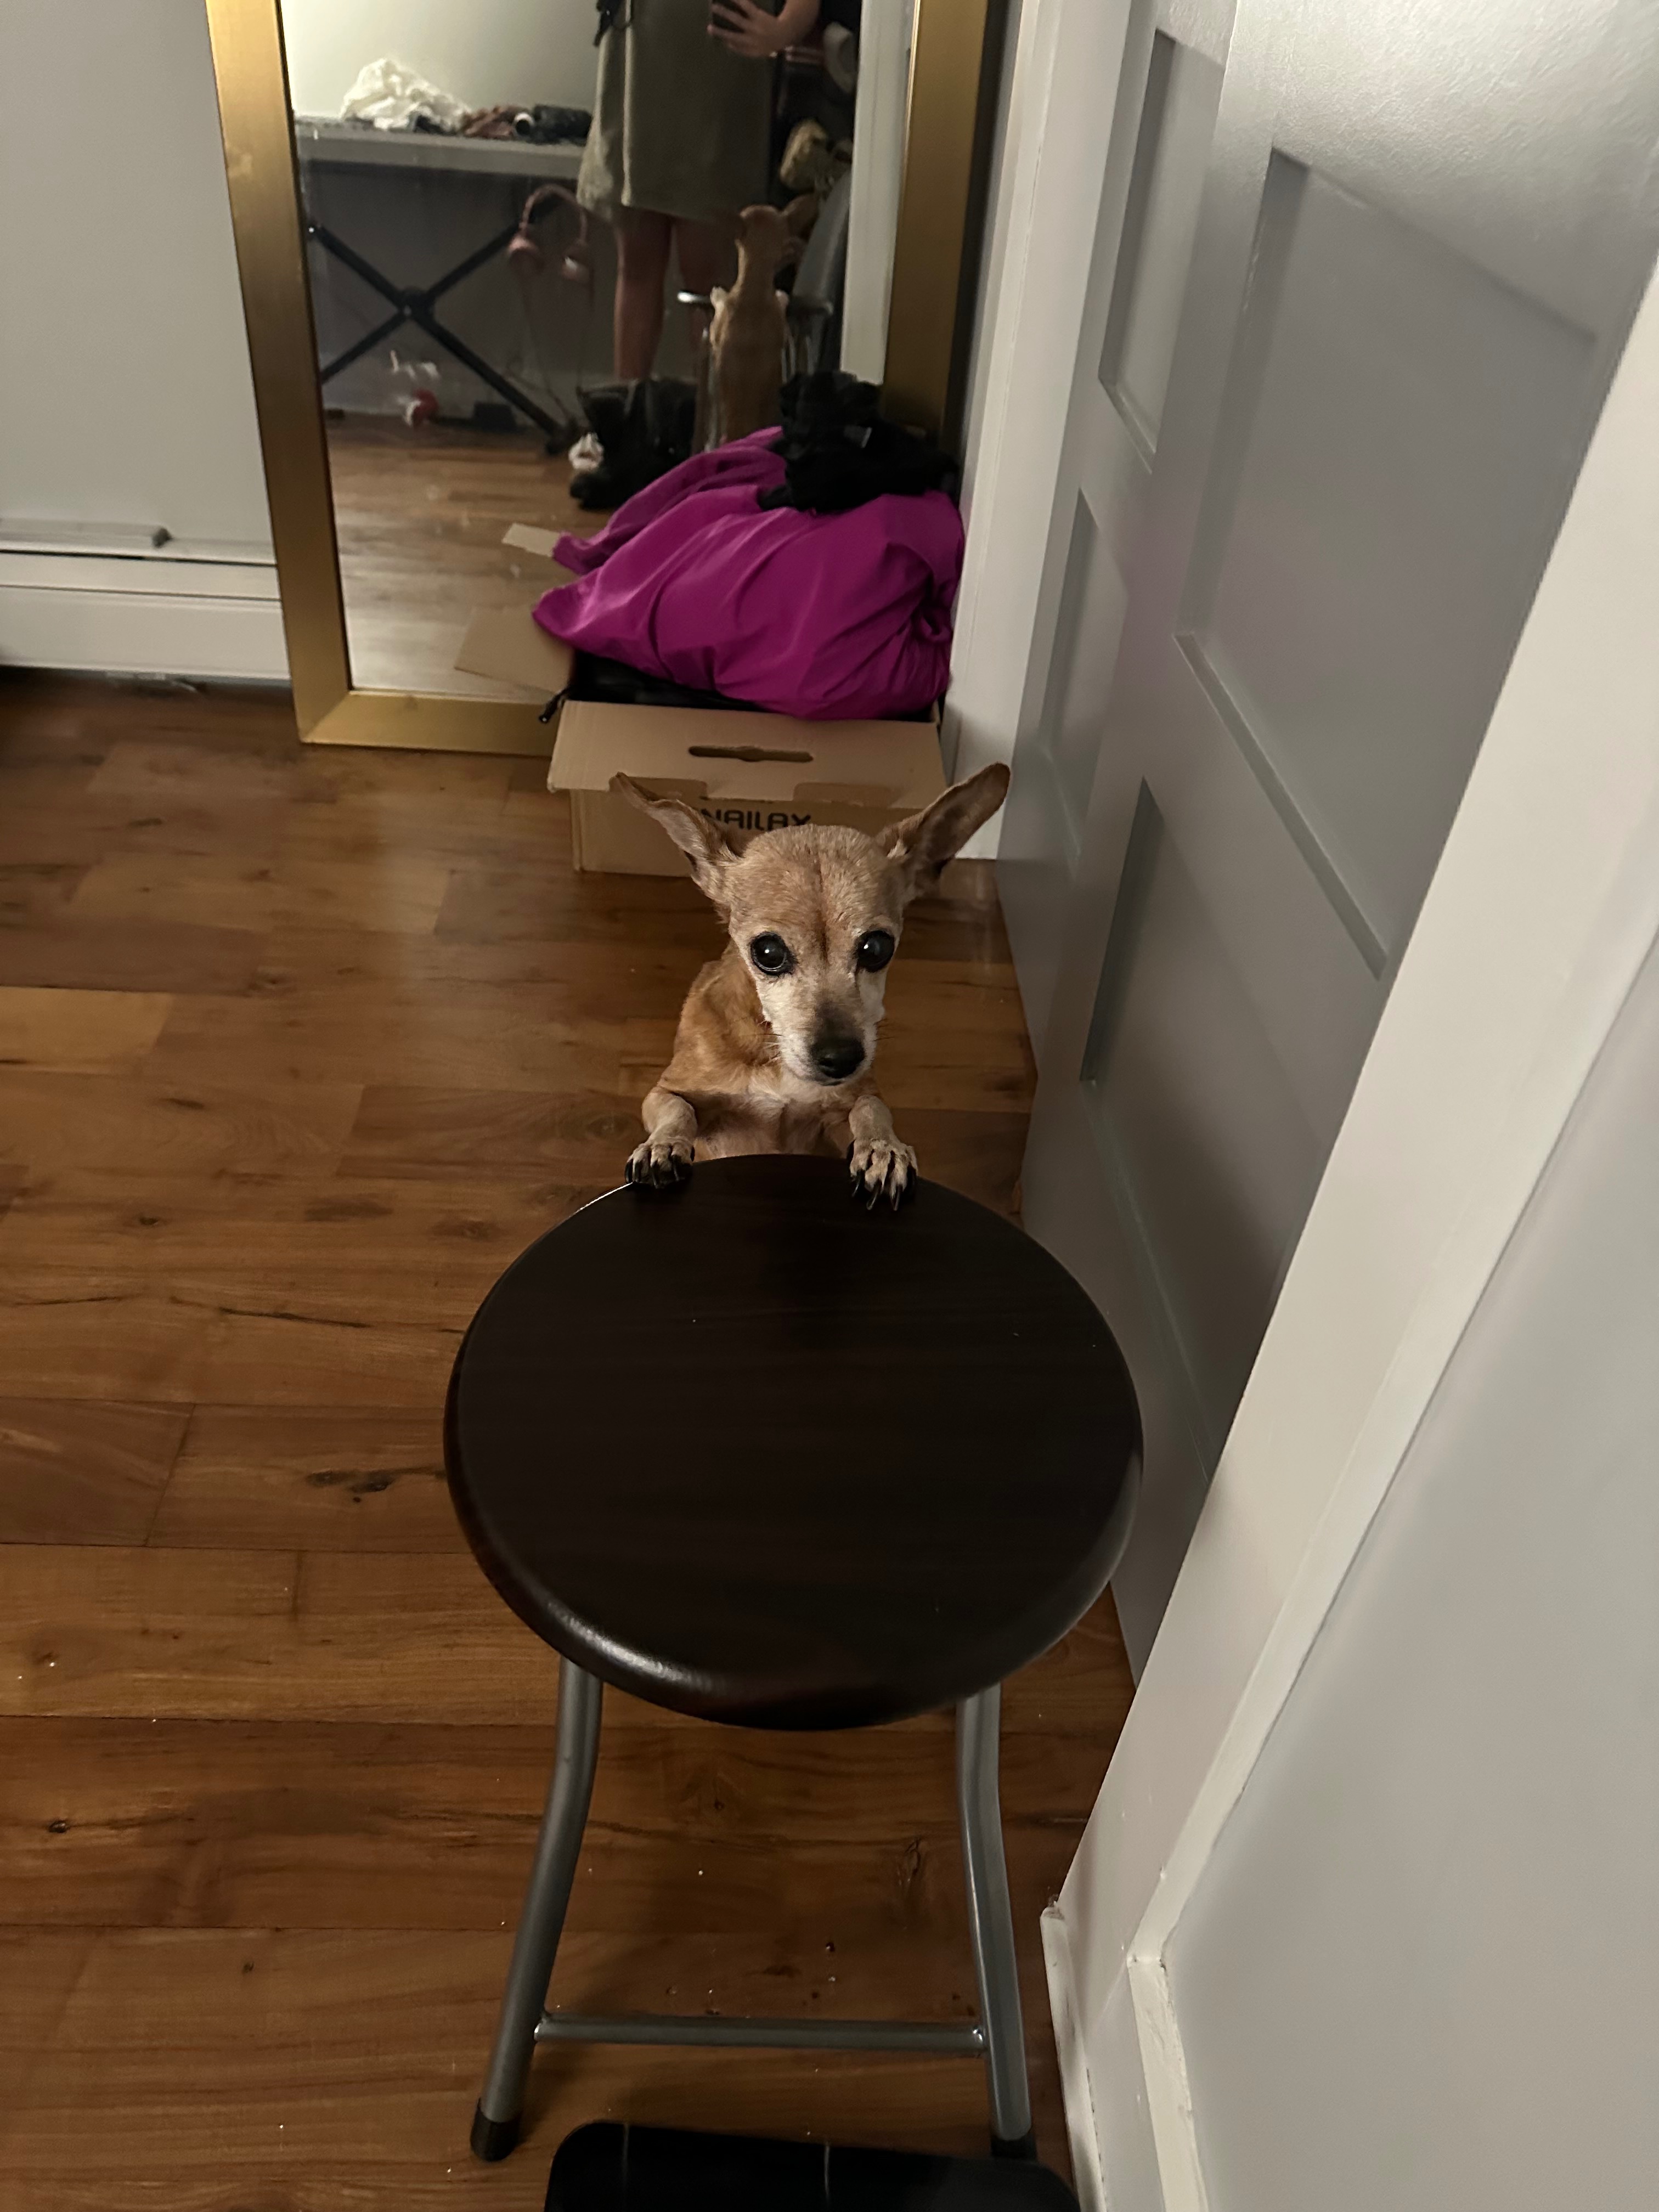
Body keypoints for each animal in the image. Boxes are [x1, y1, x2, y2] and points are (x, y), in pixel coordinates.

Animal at [612, 763, 1011, 1205]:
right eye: (768, 952)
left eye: (877, 948)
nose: (841, 1058)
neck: (776, 1062)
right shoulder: (667, 1092)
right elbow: (677, 1111)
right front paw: (662, 1146)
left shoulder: (846, 1109)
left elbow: (871, 1110)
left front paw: (883, 1149)